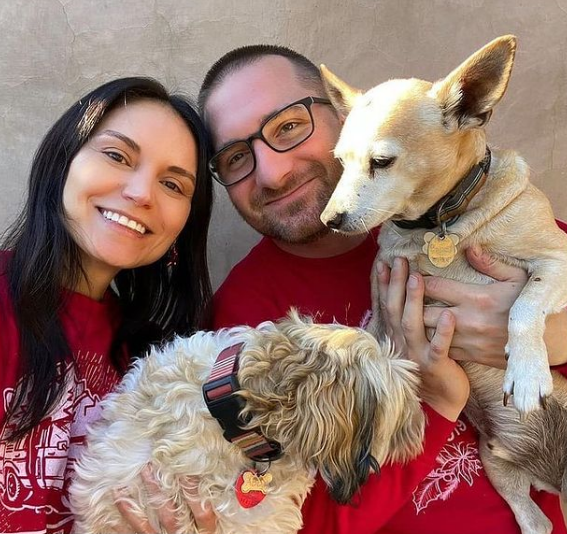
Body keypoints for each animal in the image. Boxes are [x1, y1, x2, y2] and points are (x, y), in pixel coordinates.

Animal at [322, 36, 567, 534]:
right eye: (340, 163)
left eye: (381, 162)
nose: (329, 220)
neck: (440, 224)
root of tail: (548, 475)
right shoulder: (383, 307)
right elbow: (365, 345)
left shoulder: (558, 259)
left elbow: (525, 304)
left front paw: (528, 372)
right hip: (501, 470)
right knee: (539, 522)